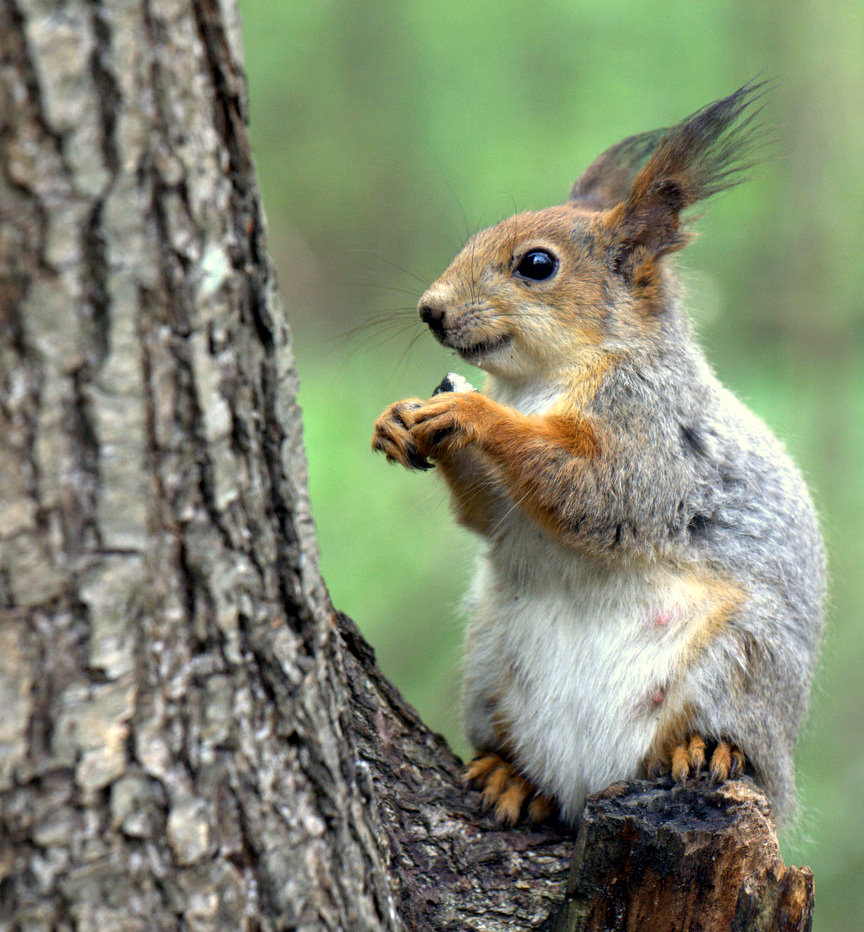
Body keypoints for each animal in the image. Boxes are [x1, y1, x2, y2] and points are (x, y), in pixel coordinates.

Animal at [372, 83, 832, 828]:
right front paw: (396, 420)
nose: (429, 311)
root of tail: (587, 778)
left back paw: (707, 749)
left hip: (742, 663)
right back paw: (514, 775)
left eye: (537, 264)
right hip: (490, 661)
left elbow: (596, 491)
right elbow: (489, 515)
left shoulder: (653, 434)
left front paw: (472, 415)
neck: (538, 382)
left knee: (726, 739)